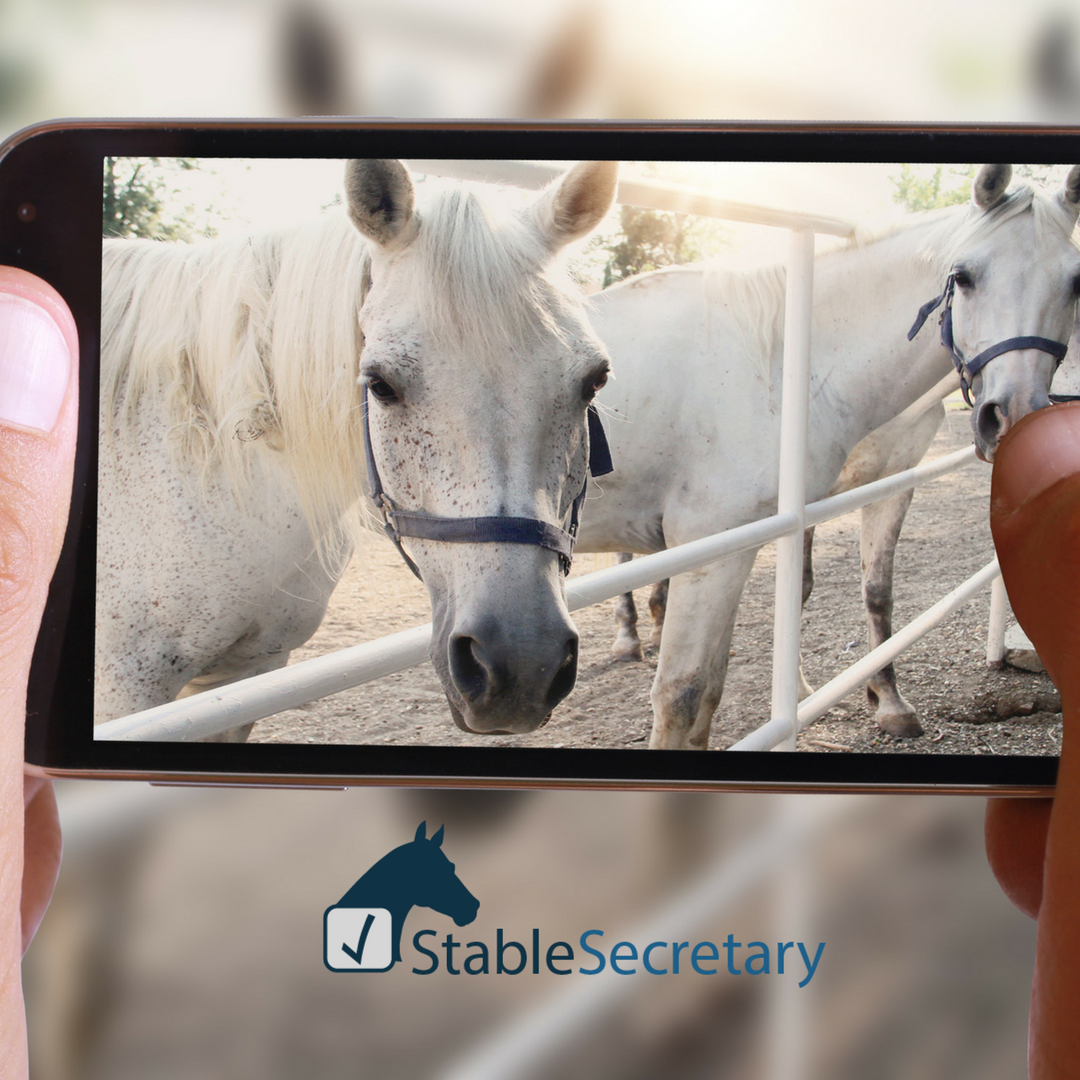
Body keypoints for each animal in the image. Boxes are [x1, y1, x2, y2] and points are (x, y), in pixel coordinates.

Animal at [581, 163, 1080, 749]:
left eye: (1075, 283)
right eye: (963, 276)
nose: (1015, 414)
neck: (778, 362)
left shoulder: (866, 490)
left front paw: (886, 703)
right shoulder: (713, 547)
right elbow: (683, 693)